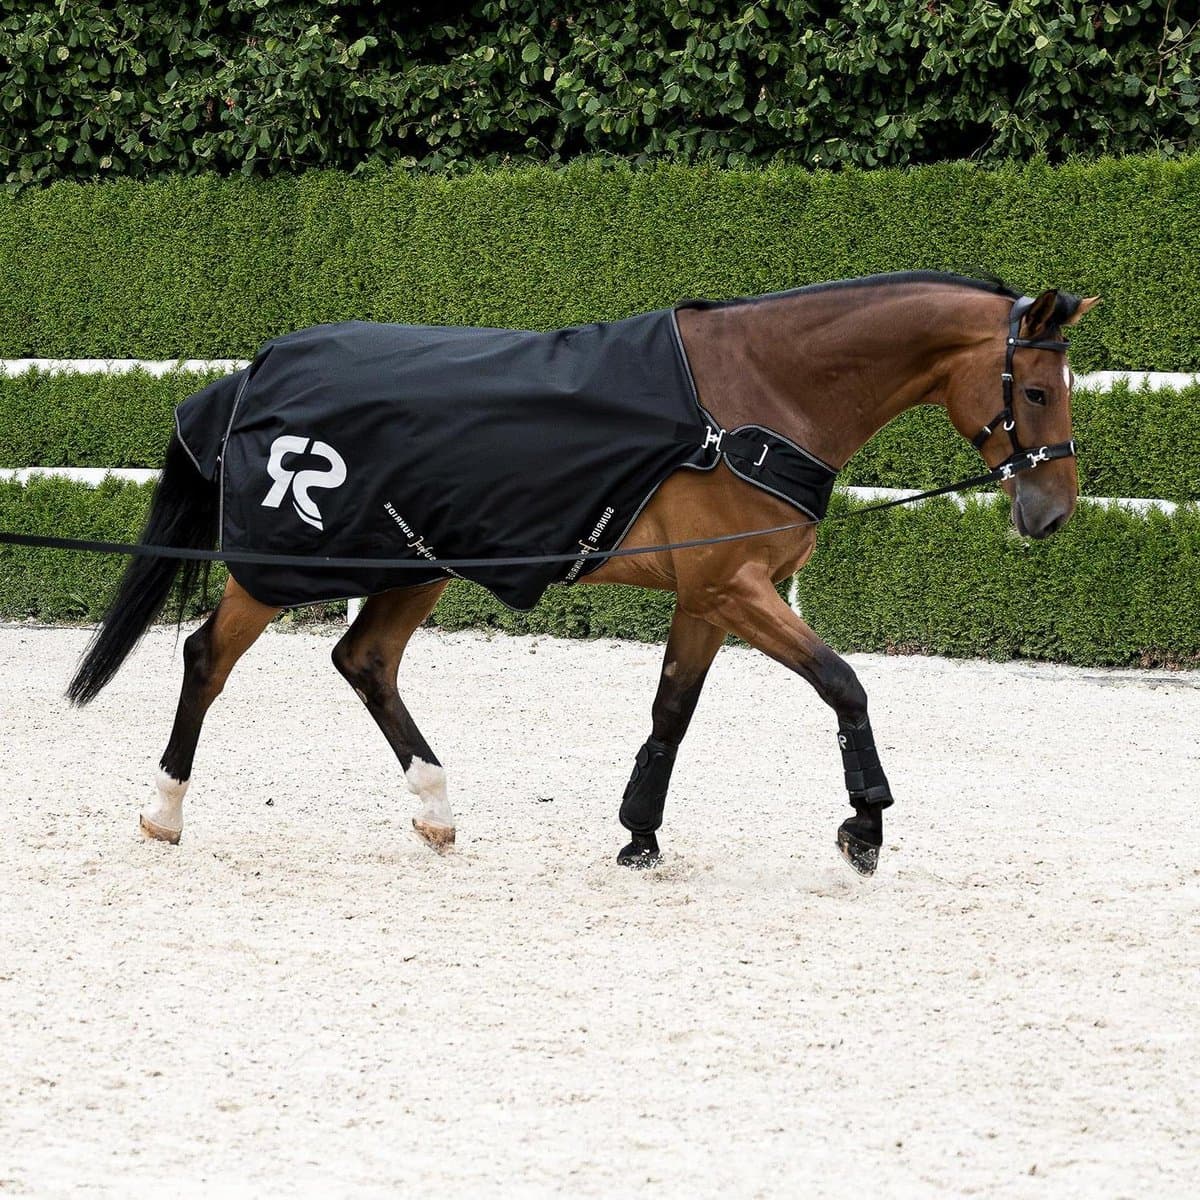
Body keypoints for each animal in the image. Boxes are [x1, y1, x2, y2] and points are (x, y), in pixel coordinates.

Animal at [65, 272, 1099, 875]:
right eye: (1034, 388)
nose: (1050, 513)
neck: (757, 399)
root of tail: (253, 371)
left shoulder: (710, 598)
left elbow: (671, 712)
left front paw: (639, 832)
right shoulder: (736, 590)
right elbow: (843, 683)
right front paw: (865, 827)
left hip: (416, 563)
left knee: (365, 661)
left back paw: (436, 811)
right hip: (287, 565)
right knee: (209, 656)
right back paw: (164, 812)